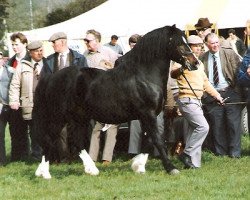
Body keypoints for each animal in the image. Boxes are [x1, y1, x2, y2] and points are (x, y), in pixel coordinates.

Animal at [33, 25, 198, 175]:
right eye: (178, 43)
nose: (195, 63)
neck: (144, 76)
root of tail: (52, 77)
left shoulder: (146, 117)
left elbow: (148, 141)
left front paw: (138, 166)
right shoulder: (148, 114)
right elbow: (157, 140)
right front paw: (171, 168)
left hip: (79, 117)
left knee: (77, 142)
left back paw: (92, 169)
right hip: (58, 117)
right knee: (49, 140)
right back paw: (44, 173)